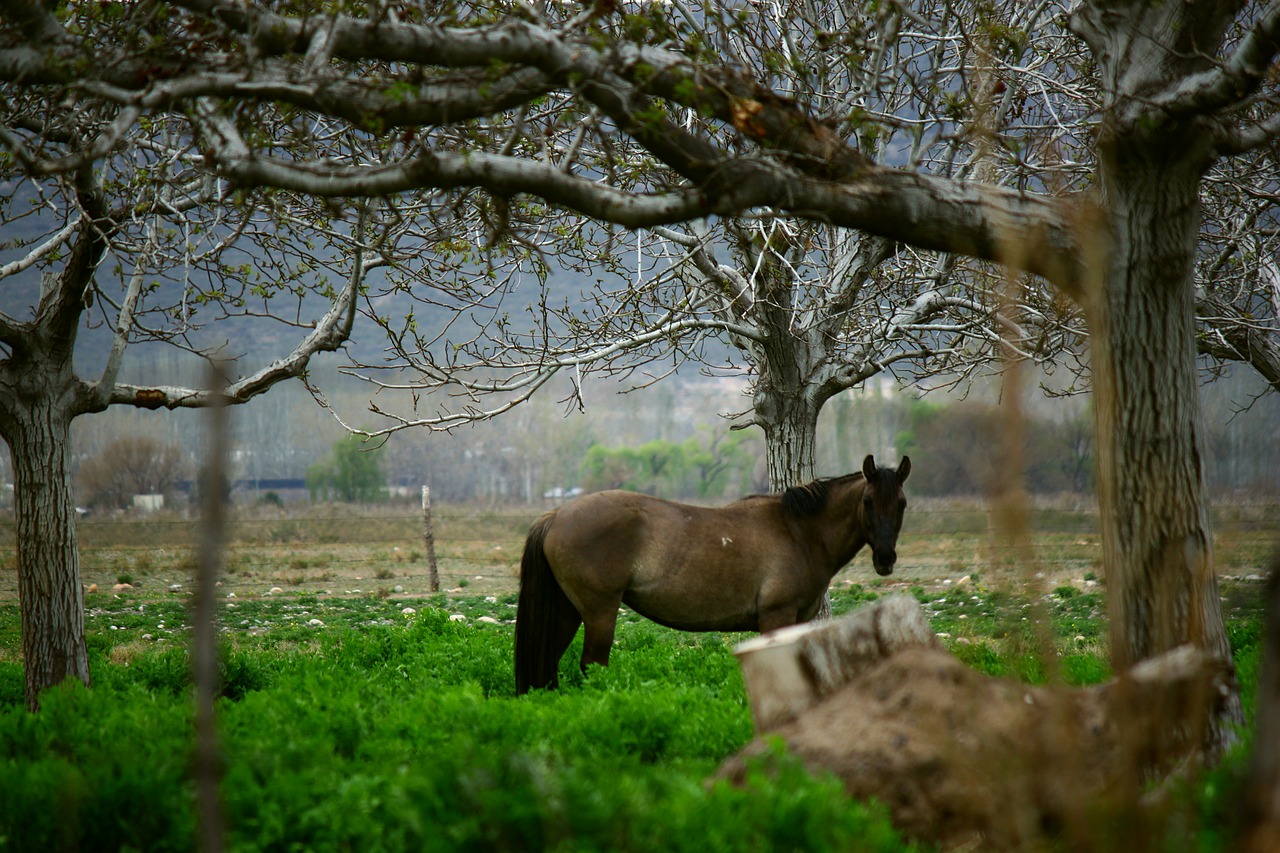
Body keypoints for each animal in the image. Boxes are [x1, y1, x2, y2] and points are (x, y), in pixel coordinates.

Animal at [512, 450, 911, 691]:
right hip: (599, 613)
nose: (885, 559)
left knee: (549, 666)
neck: (798, 531)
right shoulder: (776, 617)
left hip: (567, 611)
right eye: (868, 501)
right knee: (591, 665)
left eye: (902, 503)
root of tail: (556, 516)